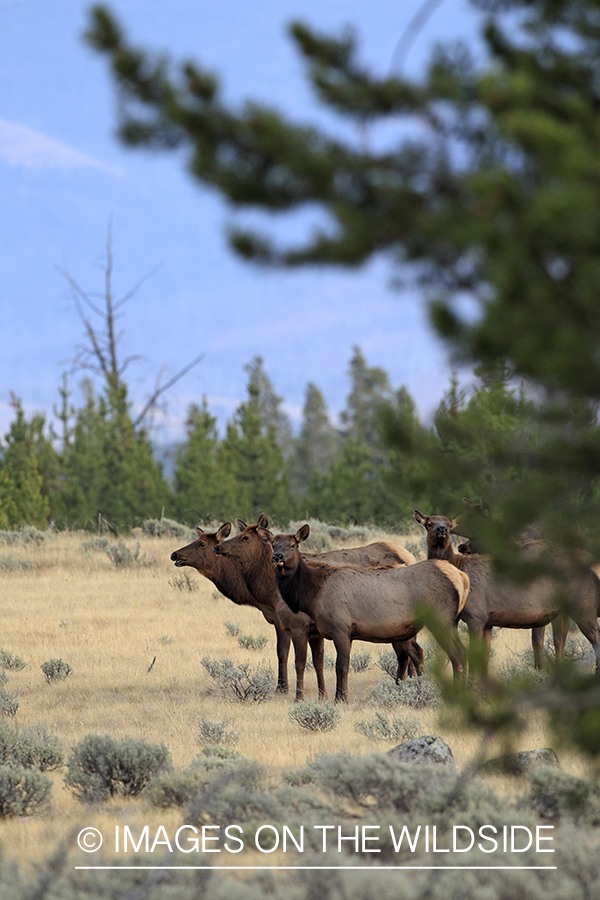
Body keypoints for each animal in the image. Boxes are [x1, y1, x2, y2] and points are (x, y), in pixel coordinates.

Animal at [257, 524, 469, 702]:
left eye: (293, 545)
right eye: (274, 545)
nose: (277, 557)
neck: (313, 595)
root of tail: (462, 578)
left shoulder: (341, 627)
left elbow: (341, 666)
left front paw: (341, 699)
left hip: (441, 619)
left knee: (455, 653)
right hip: (449, 622)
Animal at [413, 508, 600, 676]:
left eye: (449, 525)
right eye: (429, 523)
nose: (442, 530)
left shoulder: (476, 616)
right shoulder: (487, 622)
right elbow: (484, 660)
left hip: (583, 609)